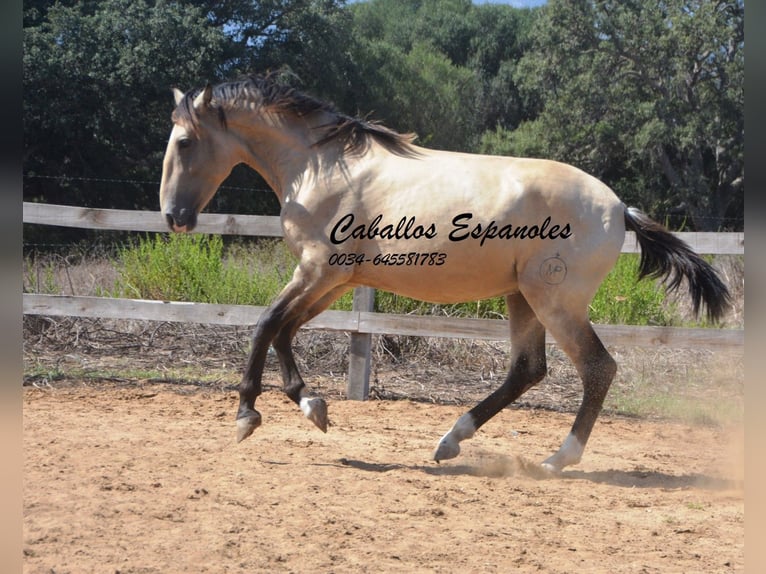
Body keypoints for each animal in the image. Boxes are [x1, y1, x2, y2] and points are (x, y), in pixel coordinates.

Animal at [158, 74, 732, 474]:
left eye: (184, 142)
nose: (174, 217)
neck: (322, 168)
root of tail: (619, 208)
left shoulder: (319, 270)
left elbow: (264, 324)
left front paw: (246, 416)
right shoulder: (334, 280)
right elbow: (284, 330)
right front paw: (312, 406)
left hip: (554, 302)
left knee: (597, 369)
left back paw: (555, 460)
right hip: (522, 298)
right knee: (528, 370)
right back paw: (451, 440)